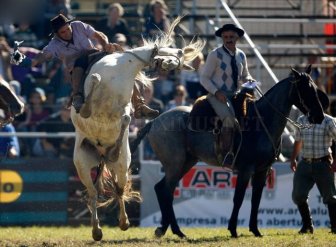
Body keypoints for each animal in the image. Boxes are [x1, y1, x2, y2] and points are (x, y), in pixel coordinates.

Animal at [70, 16, 205, 240]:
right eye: (177, 53)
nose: (170, 65)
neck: (121, 68)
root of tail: (101, 156)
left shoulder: (124, 108)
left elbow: (125, 119)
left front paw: (116, 147)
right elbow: (93, 88)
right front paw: (87, 105)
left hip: (122, 166)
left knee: (117, 189)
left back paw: (123, 222)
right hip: (81, 165)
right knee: (93, 194)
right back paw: (97, 230)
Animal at [130, 66, 324, 238]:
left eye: (315, 88)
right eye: (306, 90)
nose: (319, 116)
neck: (261, 122)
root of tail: (154, 122)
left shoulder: (262, 171)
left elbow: (256, 200)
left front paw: (255, 230)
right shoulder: (246, 170)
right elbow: (238, 198)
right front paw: (233, 230)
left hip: (186, 163)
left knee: (164, 189)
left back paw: (167, 229)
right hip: (175, 164)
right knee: (165, 190)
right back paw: (175, 230)